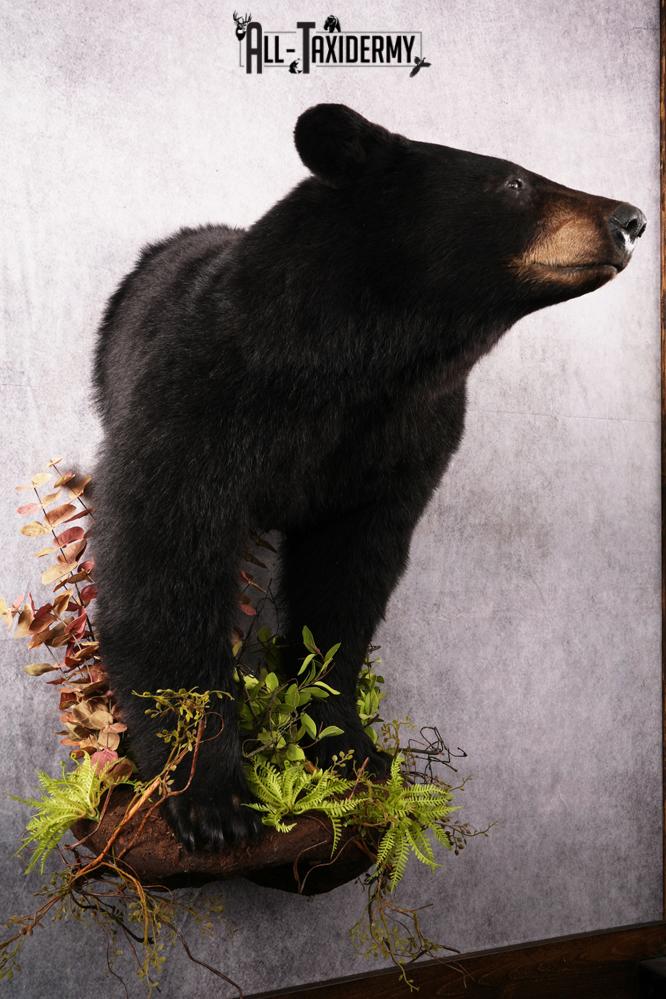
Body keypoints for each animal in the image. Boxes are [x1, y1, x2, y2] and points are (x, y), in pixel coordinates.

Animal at [92, 103, 645, 852]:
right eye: (513, 182)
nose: (632, 218)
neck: (359, 362)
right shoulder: (199, 398)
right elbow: (164, 563)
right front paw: (212, 801)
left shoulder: (406, 438)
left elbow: (347, 579)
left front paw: (352, 750)